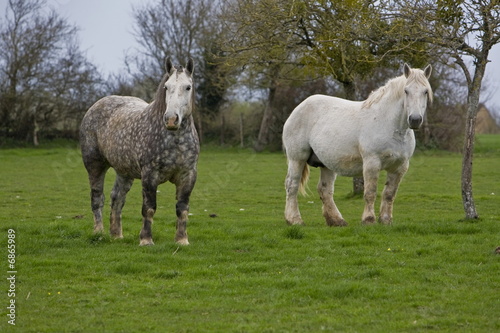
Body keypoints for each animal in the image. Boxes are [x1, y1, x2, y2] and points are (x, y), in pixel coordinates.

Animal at [79, 58, 198, 244]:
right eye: (166, 87)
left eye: (188, 87)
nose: (171, 119)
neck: (174, 139)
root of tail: (96, 105)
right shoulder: (149, 174)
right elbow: (149, 208)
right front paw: (146, 240)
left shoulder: (188, 175)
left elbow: (182, 208)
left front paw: (182, 240)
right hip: (95, 166)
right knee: (97, 198)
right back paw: (99, 232)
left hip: (124, 172)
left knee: (117, 198)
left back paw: (116, 235)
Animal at [284, 63, 432, 226]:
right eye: (406, 91)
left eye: (425, 91)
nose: (415, 120)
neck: (391, 126)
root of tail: (299, 107)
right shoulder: (372, 163)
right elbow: (370, 192)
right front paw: (369, 220)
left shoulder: (400, 167)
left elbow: (389, 194)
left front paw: (386, 221)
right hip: (297, 159)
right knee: (292, 185)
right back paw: (294, 219)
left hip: (327, 164)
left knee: (325, 190)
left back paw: (336, 221)